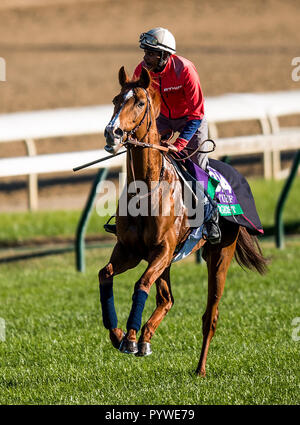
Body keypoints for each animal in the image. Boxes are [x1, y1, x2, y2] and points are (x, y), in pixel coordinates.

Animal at [99, 65, 268, 374]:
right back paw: (146, 339)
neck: (148, 188)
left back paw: (199, 368)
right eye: (116, 99)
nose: (112, 132)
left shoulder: (162, 249)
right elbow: (106, 274)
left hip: (219, 254)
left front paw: (129, 338)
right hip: (167, 260)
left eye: (138, 102)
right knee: (167, 299)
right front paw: (118, 335)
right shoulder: (131, 250)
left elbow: (141, 284)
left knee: (210, 315)